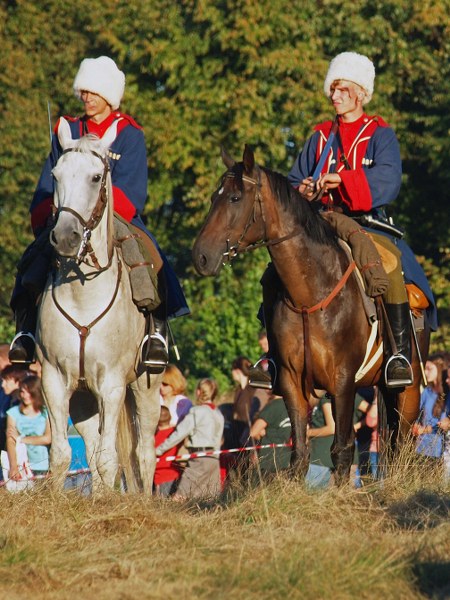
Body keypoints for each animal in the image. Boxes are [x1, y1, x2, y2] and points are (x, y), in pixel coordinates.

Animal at [36, 118, 162, 493]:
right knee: (92, 450)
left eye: (96, 177)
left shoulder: (112, 384)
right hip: (83, 400)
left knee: (143, 454)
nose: (65, 237)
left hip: (145, 389)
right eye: (56, 175)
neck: (82, 293)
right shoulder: (54, 380)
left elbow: (112, 458)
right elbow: (63, 455)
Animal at [192, 145, 430, 483]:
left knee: (404, 441)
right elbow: (300, 454)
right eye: (215, 196)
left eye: (236, 198)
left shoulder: (343, 383)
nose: (200, 256)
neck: (310, 292)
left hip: (408, 390)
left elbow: (342, 450)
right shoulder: (292, 382)